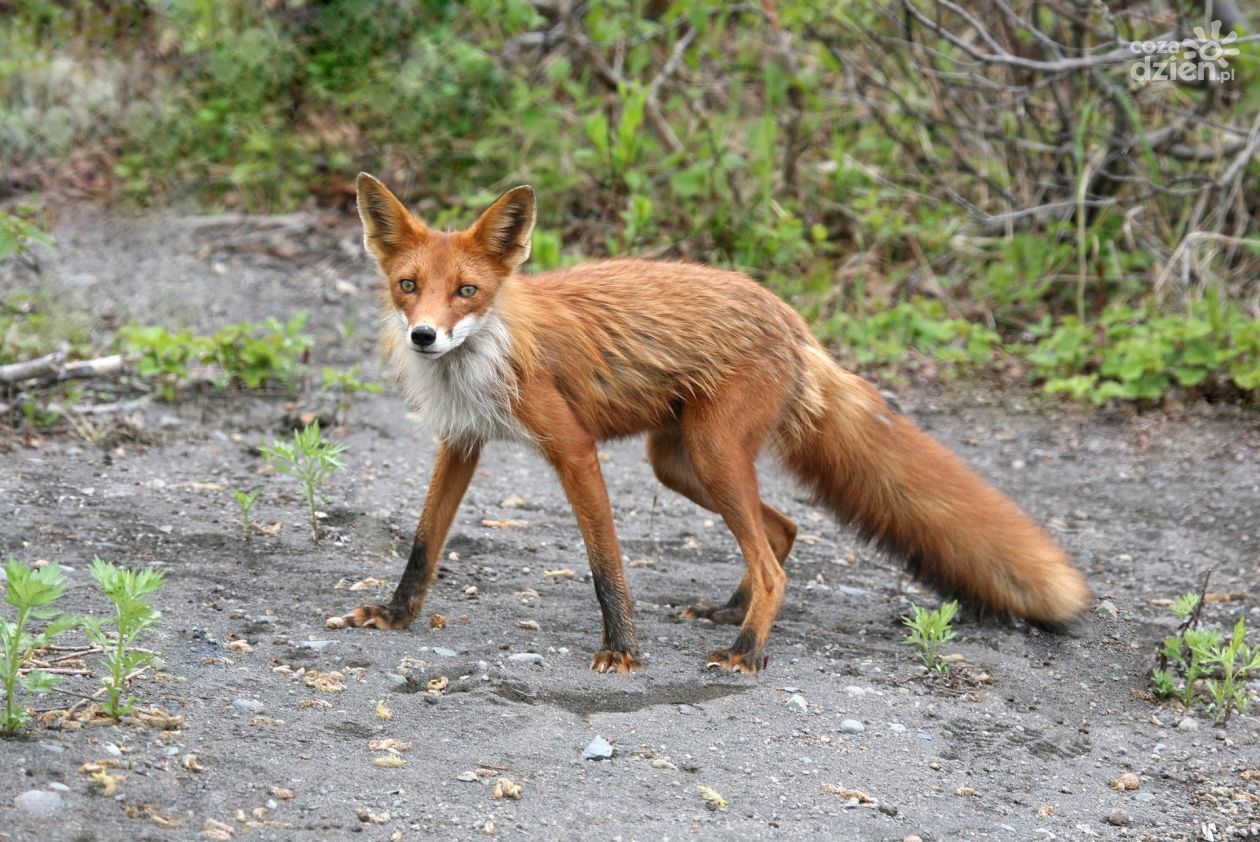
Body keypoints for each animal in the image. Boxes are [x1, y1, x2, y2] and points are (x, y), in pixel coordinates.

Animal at [330, 173, 1088, 675]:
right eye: (407, 287)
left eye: (467, 291)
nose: (425, 336)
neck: (487, 351)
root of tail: (790, 319)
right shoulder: (461, 442)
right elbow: (423, 545)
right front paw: (396, 615)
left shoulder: (573, 449)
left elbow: (606, 564)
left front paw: (622, 650)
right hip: (680, 461)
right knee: (782, 530)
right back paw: (732, 612)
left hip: (713, 452)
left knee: (773, 560)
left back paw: (746, 649)